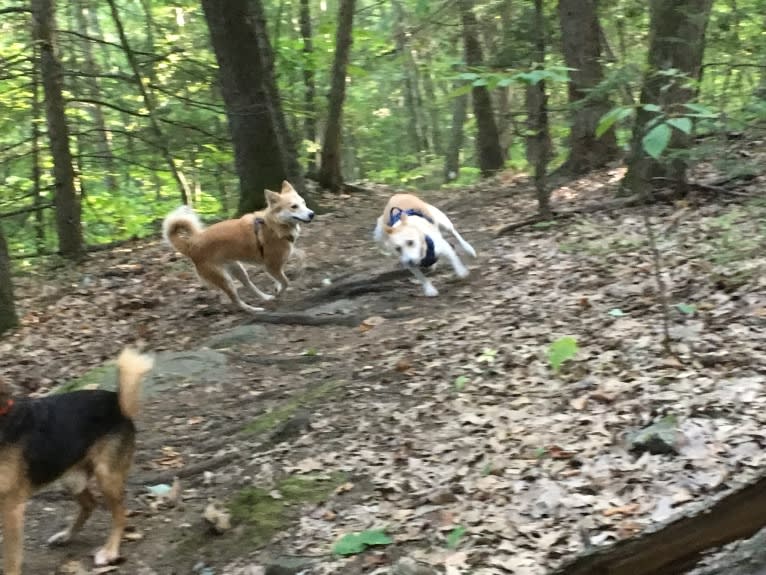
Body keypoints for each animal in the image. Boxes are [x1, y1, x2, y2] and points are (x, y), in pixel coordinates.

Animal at [0, 348, 154, 572]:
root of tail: (115, 400)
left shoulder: (11, 507)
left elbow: (11, 561)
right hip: (71, 479)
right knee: (90, 504)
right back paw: (66, 535)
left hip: (106, 476)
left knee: (120, 514)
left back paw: (110, 550)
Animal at [164, 182, 316, 312]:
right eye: (294, 206)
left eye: (303, 202)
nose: (312, 214)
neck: (273, 224)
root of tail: (191, 244)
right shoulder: (271, 266)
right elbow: (285, 282)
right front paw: (279, 292)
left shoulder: (281, 259)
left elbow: (301, 256)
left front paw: (280, 286)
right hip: (225, 280)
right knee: (236, 301)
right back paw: (254, 310)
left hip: (238, 269)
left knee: (249, 285)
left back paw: (266, 297)